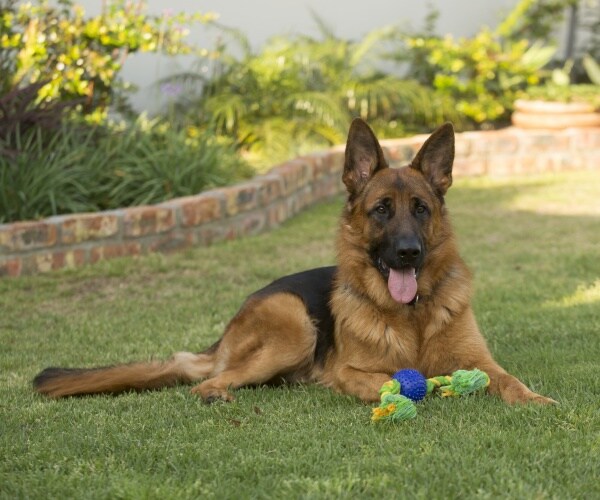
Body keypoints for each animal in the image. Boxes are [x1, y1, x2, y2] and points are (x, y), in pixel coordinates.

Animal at [34, 120, 552, 406]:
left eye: (421, 209)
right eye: (382, 210)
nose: (408, 252)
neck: (413, 317)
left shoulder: (482, 362)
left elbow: (509, 380)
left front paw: (537, 399)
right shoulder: (352, 369)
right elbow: (394, 380)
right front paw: (403, 388)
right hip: (295, 323)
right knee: (208, 381)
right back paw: (216, 393)